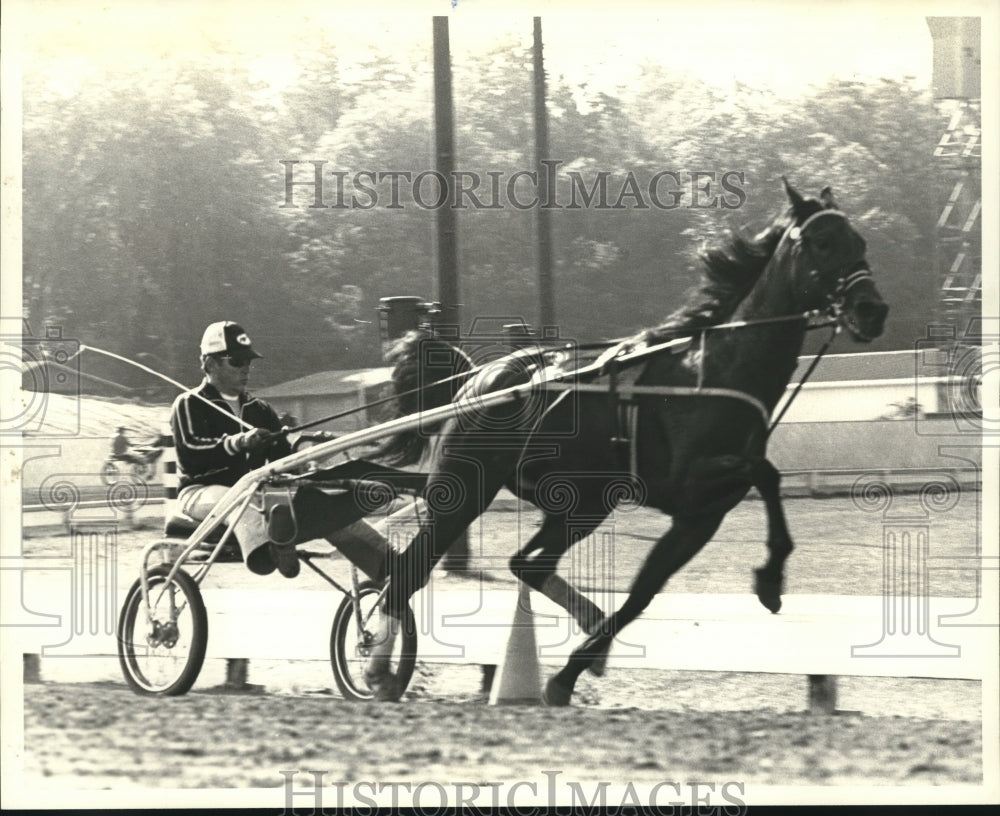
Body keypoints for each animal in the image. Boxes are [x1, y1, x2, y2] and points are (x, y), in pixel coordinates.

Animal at [364, 182, 888, 704]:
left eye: (860, 242)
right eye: (822, 242)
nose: (873, 311)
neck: (715, 368)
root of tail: (478, 377)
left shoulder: (700, 516)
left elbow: (642, 593)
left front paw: (569, 674)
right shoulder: (689, 482)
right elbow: (766, 472)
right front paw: (770, 580)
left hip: (582, 504)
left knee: (527, 564)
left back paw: (585, 618)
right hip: (464, 491)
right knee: (408, 573)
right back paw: (378, 669)